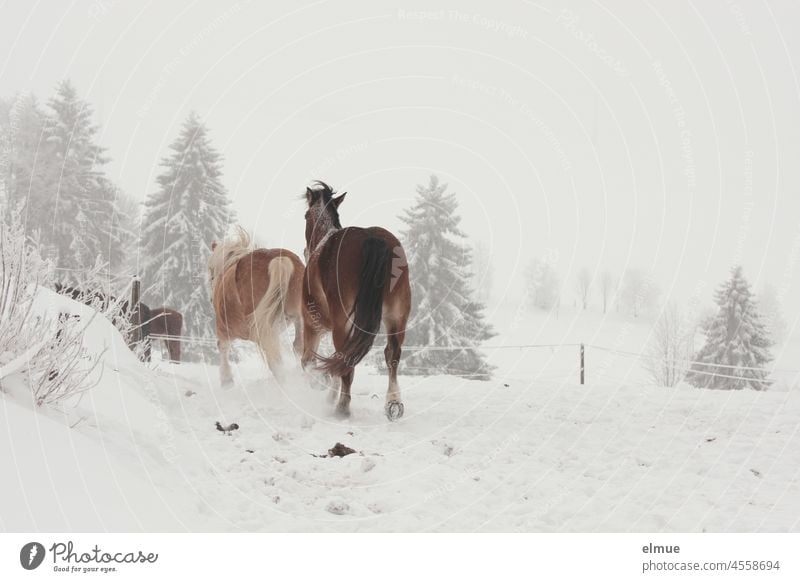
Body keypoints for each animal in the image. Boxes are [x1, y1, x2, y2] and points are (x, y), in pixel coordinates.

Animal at [208, 228, 304, 388]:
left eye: (210, 272)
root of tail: (278, 261)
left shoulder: (224, 328)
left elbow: (222, 348)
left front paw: (227, 381)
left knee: (276, 361)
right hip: (300, 317)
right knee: (299, 347)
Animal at [300, 182, 412, 420]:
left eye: (306, 215)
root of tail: (373, 238)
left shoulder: (312, 324)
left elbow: (308, 361)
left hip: (342, 322)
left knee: (345, 359)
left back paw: (342, 408)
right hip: (397, 316)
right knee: (392, 354)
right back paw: (393, 403)